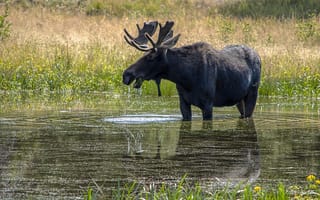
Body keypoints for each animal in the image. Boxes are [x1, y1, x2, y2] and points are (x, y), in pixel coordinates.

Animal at [122, 20, 260, 120]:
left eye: (150, 57)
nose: (126, 74)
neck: (186, 78)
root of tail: (258, 56)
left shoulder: (208, 103)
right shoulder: (183, 102)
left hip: (253, 93)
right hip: (239, 99)